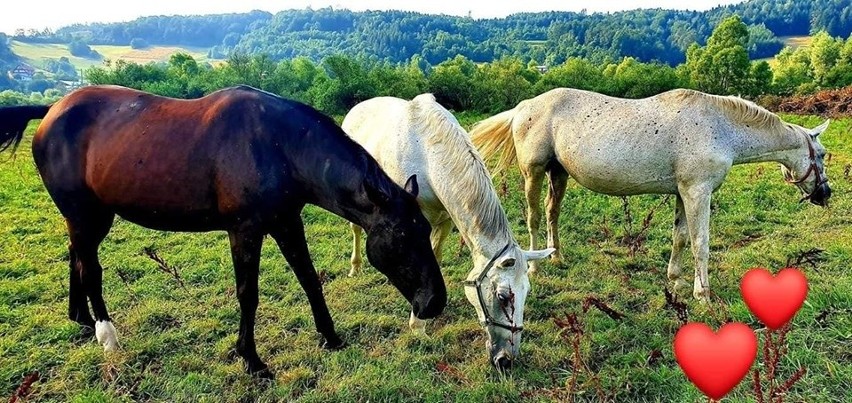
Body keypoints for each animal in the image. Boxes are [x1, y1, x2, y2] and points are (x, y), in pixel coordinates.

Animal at [0, 84, 450, 378]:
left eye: (424, 231)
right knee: (90, 269)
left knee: (76, 256)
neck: (279, 145)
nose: (434, 303)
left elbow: (309, 278)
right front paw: (251, 359)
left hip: (89, 216)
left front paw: (330, 336)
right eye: (402, 237)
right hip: (84, 214)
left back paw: (81, 318)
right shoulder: (245, 230)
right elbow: (248, 294)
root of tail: (53, 109)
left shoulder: (287, 222)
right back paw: (107, 335)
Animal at [342, 94, 556, 370]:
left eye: (526, 292)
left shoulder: (444, 220)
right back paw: (355, 267)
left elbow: (435, 258)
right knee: (356, 230)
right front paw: (418, 325)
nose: (505, 360)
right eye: (503, 296)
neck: (427, 154)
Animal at [470, 89, 828, 304]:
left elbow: (680, 237)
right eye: (823, 154)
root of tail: (523, 107)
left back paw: (556, 256)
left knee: (551, 213)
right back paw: (534, 268)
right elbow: (700, 243)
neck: (719, 127)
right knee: (532, 216)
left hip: (559, 174)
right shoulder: (698, 193)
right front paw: (703, 293)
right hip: (534, 172)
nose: (825, 194)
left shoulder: (684, 193)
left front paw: (676, 280)